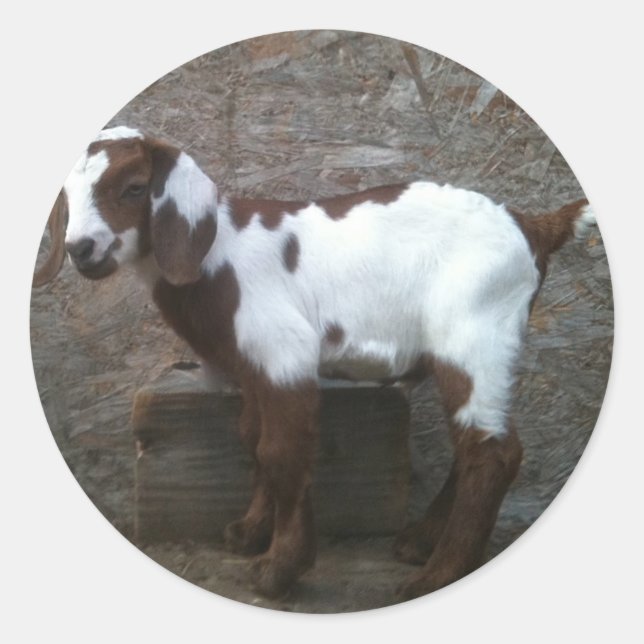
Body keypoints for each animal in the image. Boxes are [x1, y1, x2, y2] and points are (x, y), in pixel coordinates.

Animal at [33, 125, 596, 600]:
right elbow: (253, 441)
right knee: (476, 441)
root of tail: (533, 225)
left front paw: (280, 569)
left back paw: (436, 575)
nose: (81, 249)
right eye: (66, 198)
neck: (218, 253)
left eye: (133, 188)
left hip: (476, 329)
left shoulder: (285, 351)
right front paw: (250, 532)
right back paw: (420, 543)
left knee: (493, 453)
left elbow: (282, 452)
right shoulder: (255, 365)